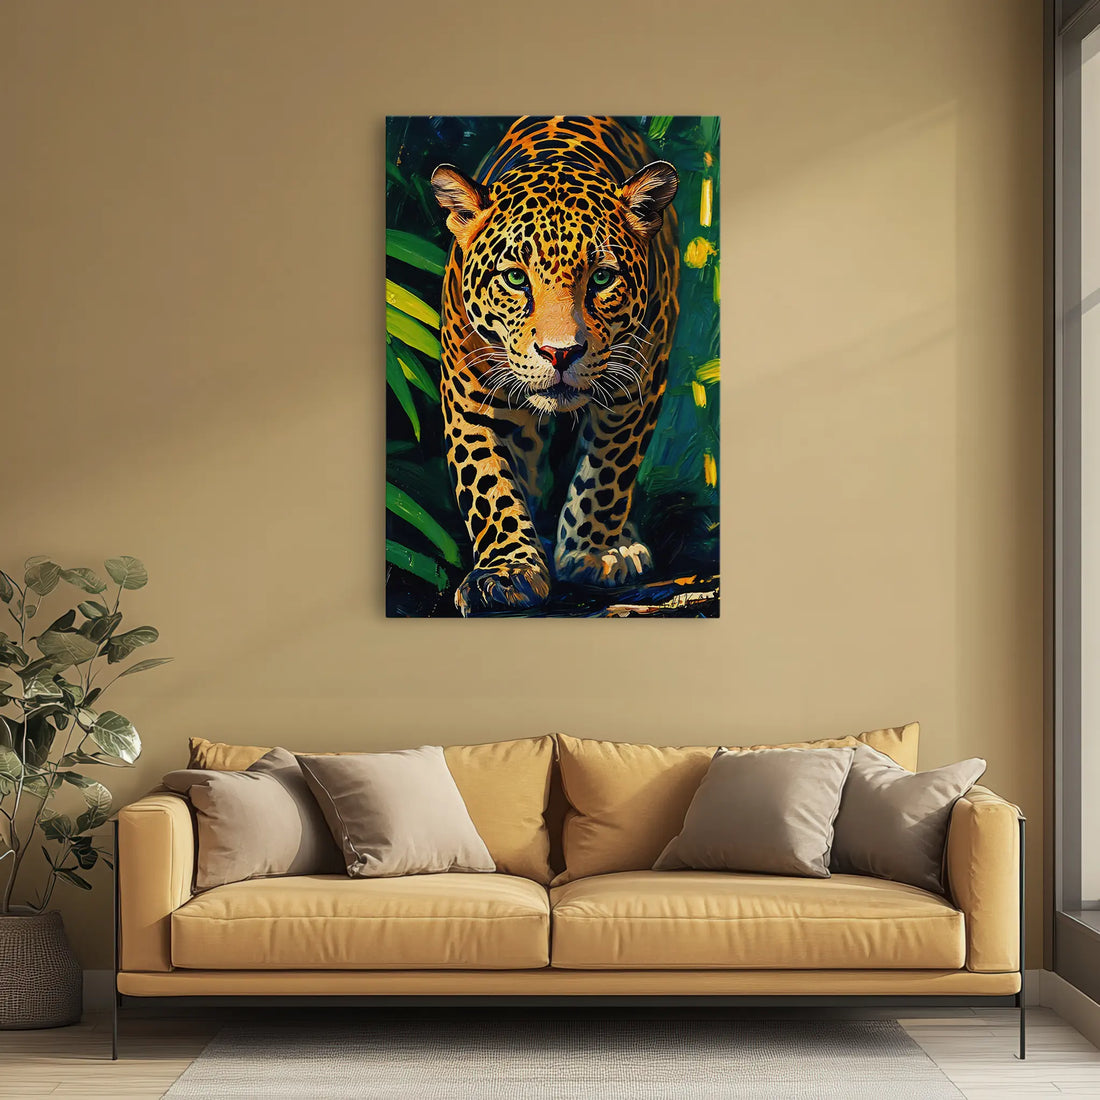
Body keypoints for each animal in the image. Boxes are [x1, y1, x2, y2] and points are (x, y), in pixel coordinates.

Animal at [430, 115, 680, 616]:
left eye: (601, 278)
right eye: (514, 278)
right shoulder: (468, 395)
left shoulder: (637, 385)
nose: (560, 353)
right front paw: (507, 571)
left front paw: (590, 554)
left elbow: (607, 472)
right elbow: (488, 482)